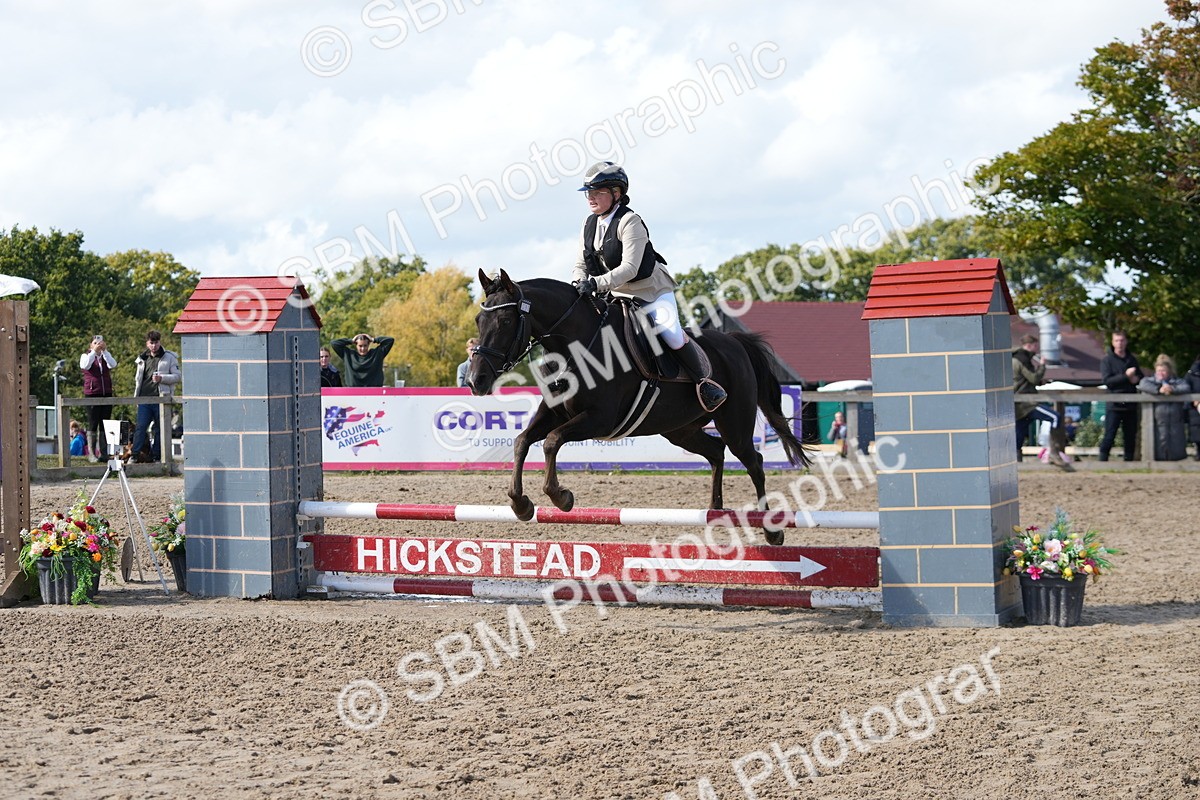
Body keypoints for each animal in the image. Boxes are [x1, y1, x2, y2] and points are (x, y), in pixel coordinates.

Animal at [466, 269, 814, 545]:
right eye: (479, 319)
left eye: (506, 320)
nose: (475, 381)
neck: (575, 346)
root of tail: (736, 343)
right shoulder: (553, 413)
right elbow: (522, 441)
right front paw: (520, 504)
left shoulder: (599, 419)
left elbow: (552, 442)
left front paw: (561, 497)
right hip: (680, 429)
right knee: (716, 452)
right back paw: (715, 511)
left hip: (734, 423)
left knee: (754, 462)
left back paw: (771, 530)